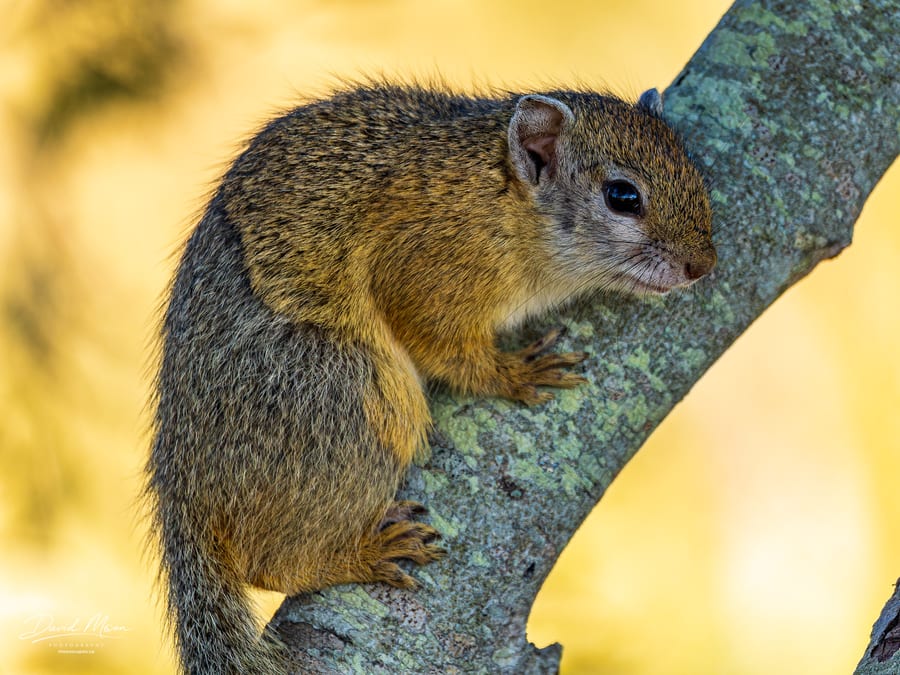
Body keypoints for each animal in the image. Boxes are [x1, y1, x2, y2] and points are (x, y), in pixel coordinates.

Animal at [146, 80, 716, 674]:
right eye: (622, 196)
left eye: (697, 174)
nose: (704, 265)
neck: (501, 196)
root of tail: (182, 479)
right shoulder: (425, 266)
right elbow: (442, 343)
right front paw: (511, 372)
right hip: (343, 397)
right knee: (272, 564)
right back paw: (359, 555)